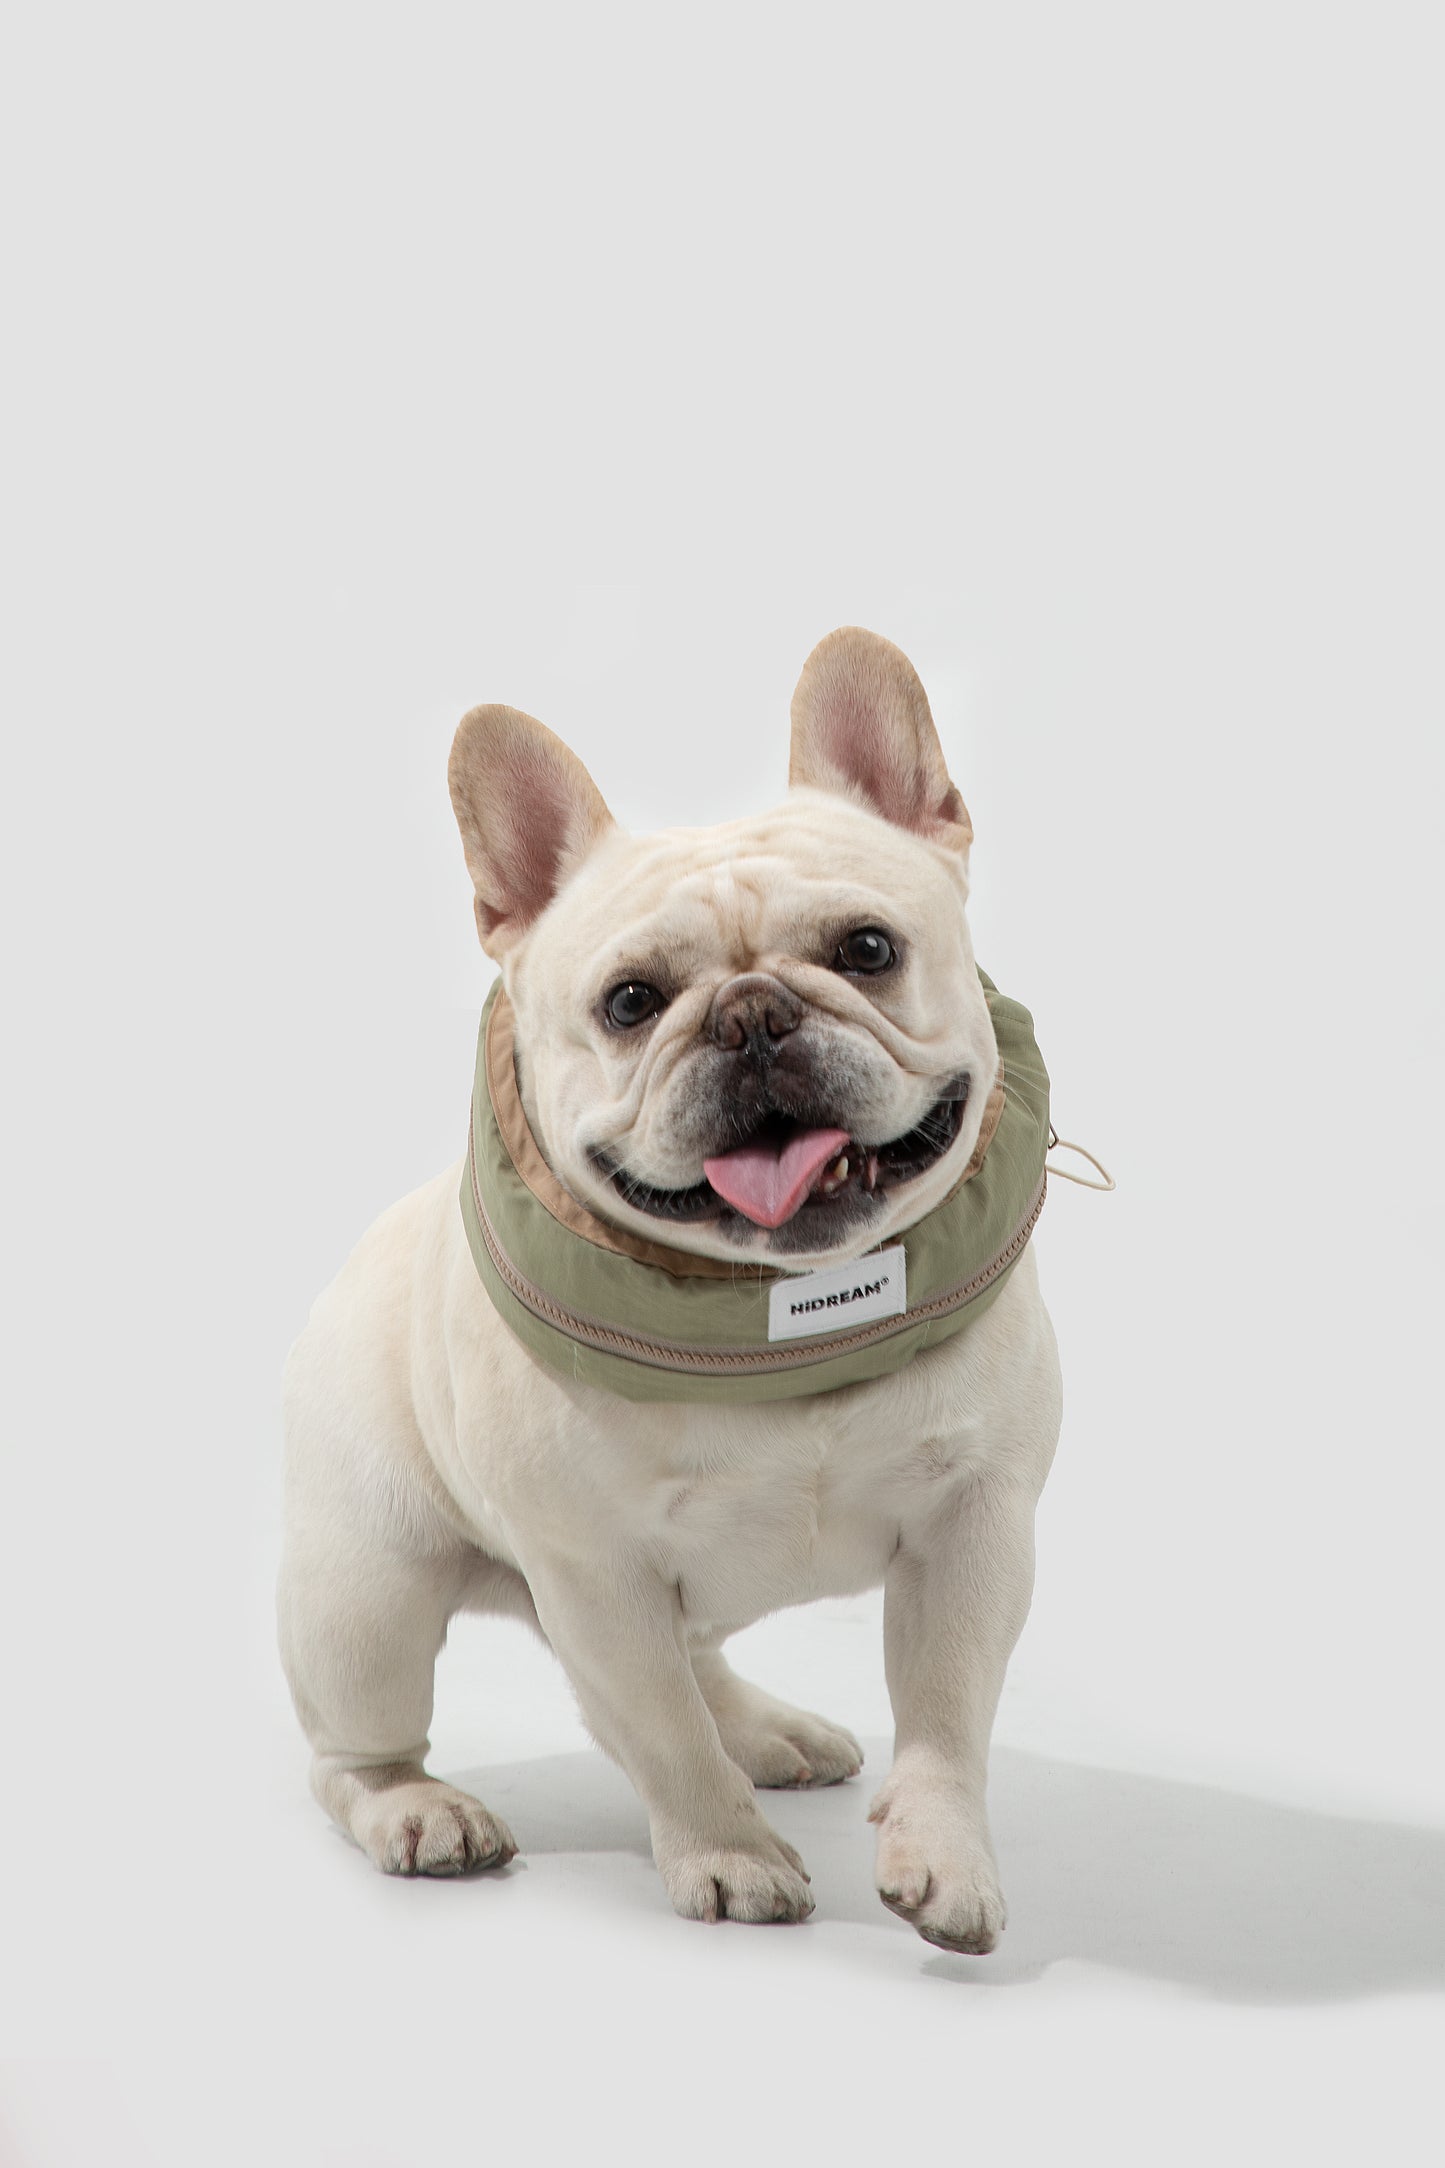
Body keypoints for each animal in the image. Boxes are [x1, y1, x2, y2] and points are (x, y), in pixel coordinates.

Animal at [279, 628, 1061, 1951]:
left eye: (866, 949)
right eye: (631, 1002)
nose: (748, 1014)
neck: (777, 1319)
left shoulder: (974, 1527)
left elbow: (947, 1712)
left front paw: (944, 1854)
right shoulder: (593, 1571)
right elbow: (658, 1735)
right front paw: (726, 1855)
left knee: (697, 1661)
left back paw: (767, 1728)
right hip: (363, 1594)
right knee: (356, 1749)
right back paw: (419, 1809)